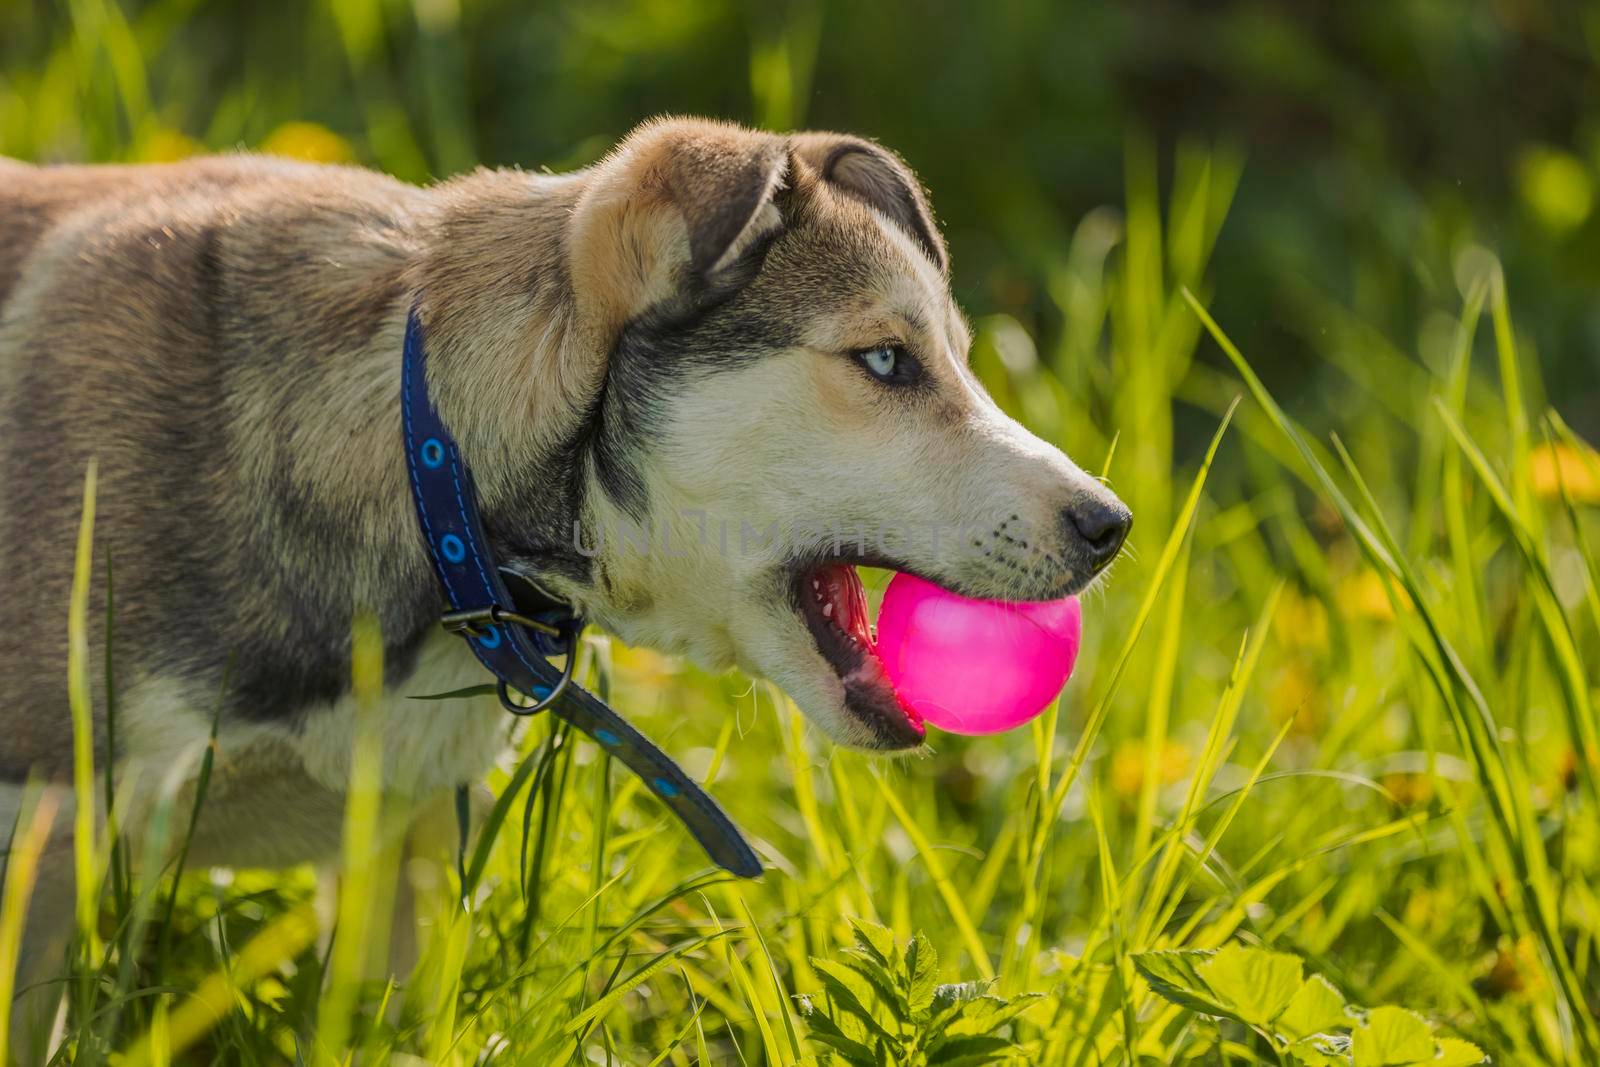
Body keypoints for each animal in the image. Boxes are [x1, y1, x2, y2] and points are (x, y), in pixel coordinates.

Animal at [0, 112, 1132, 1049]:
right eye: (886, 362)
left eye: (961, 360)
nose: (1111, 524)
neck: (427, 470)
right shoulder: (48, 821)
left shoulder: (399, 833)